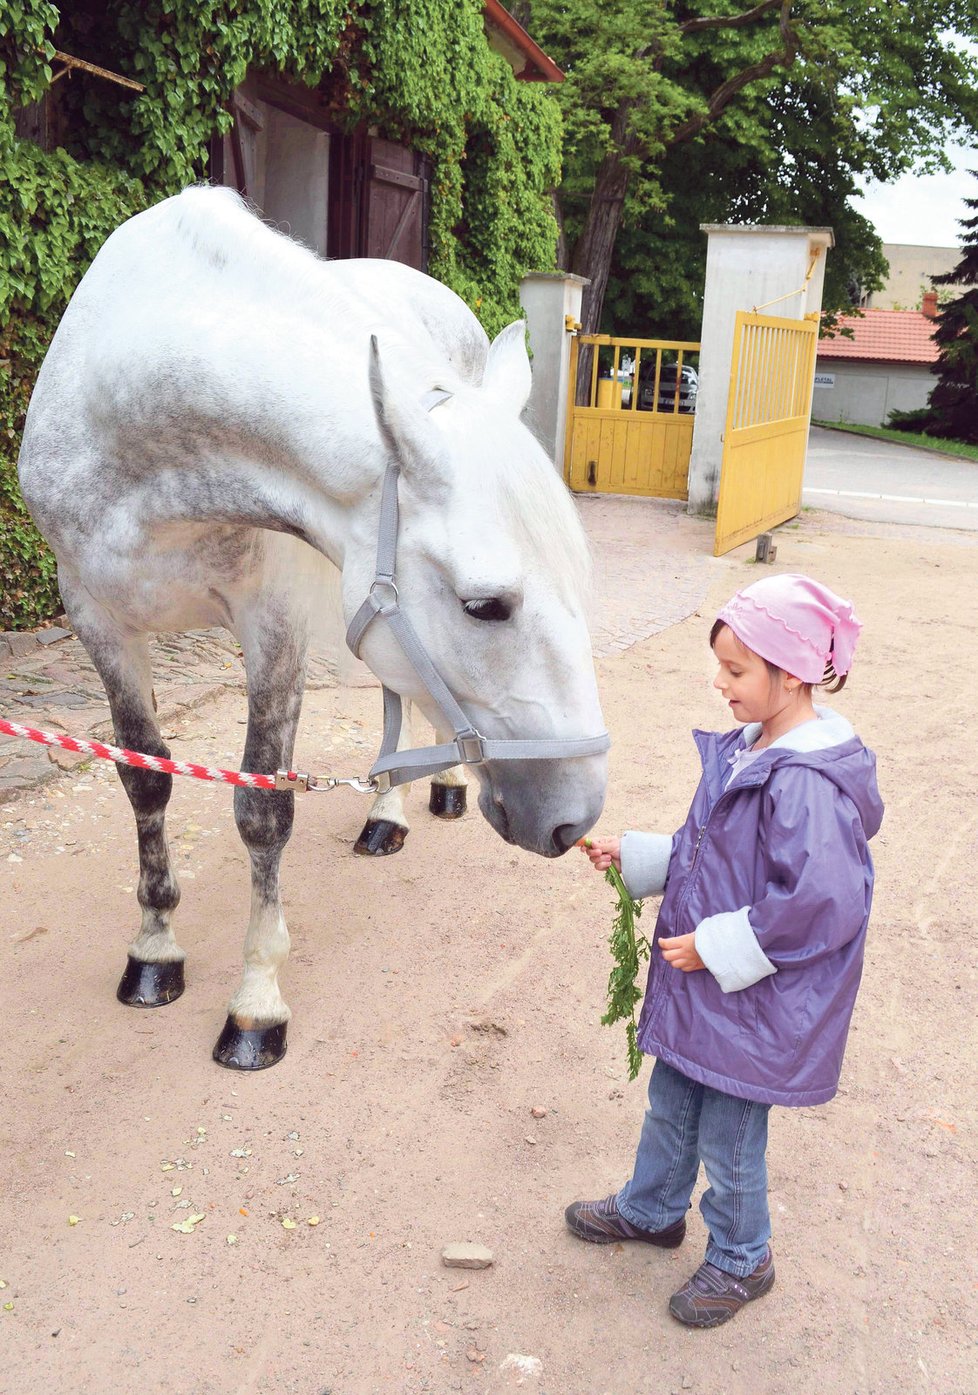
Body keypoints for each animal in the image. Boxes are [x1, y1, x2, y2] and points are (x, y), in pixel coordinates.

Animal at [19, 188, 605, 1065]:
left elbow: (264, 807)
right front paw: (154, 950)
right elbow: (145, 776)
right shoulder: (97, 616)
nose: (577, 815)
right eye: (485, 605)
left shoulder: (275, 623)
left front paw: (256, 1002)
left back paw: (421, 798)